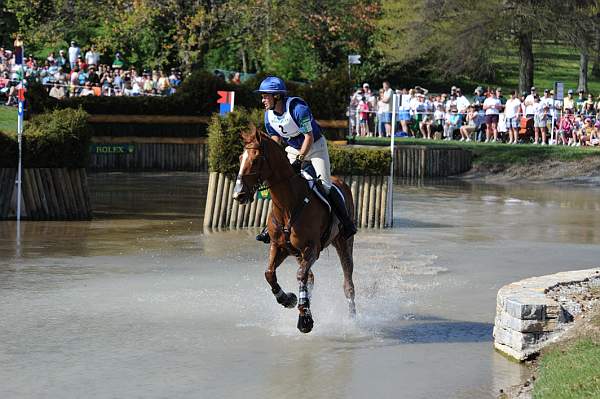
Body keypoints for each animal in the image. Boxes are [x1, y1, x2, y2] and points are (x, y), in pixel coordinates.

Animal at [233, 125, 356, 334]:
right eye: (241, 158)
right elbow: (269, 273)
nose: (238, 195)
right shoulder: (279, 246)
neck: (288, 205)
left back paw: (352, 319)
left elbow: (300, 275)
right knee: (310, 277)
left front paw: (304, 320)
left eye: (255, 160)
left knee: (348, 283)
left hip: (343, 243)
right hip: (297, 252)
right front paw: (288, 299)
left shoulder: (311, 248)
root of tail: (341, 183)